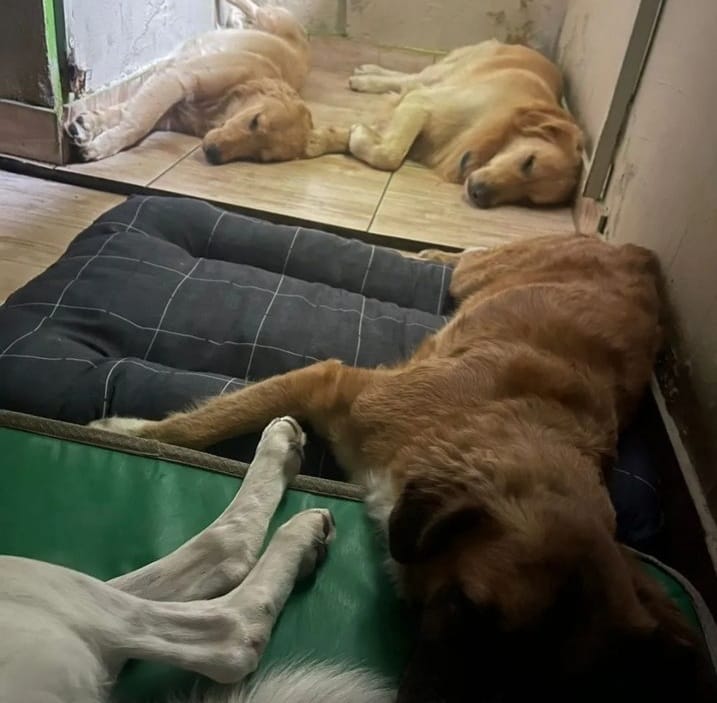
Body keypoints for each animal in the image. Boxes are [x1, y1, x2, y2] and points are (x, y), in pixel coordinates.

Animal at [65, 0, 347, 164]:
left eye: (261, 157)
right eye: (255, 121)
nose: (212, 154)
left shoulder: (167, 108)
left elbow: (127, 113)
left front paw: (90, 126)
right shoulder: (177, 80)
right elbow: (135, 123)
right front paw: (102, 144)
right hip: (269, 16)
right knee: (250, 5)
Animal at [88, 234, 716, 702]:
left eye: (541, 682)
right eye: (467, 607)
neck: (500, 430)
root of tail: (638, 251)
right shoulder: (333, 383)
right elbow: (205, 423)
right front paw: (130, 433)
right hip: (482, 273)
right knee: (468, 257)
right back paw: (427, 255)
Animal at [345, 40, 584, 208]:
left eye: (528, 199)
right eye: (529, 162)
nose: (479, 195)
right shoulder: (422, 102)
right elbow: (391, 155)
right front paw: (359, 134)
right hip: (446, 71)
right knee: (410, 78)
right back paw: (366, 77)